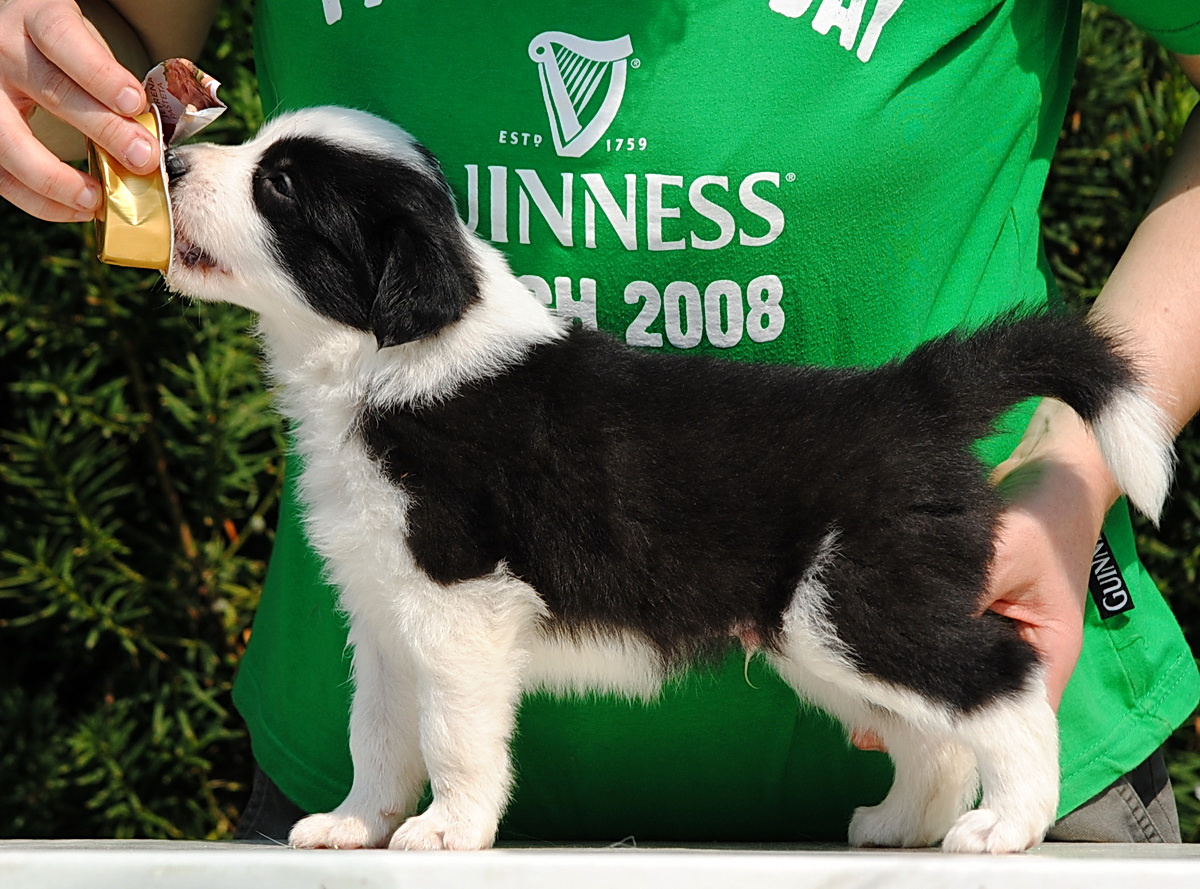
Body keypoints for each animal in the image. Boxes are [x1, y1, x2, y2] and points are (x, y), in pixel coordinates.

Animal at [164, 105, 1176, 854]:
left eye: (279, 183)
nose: (168, 159)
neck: (384, 358)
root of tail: (912, 395)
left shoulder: (459, 608)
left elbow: (453, 734)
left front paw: (447, 829)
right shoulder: (383, 612)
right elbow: (375, 732)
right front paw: (353, 824)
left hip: (859, 601)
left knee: (1003, 679)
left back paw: (1007, 824)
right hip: (818, 633)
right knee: (932, 734)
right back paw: (900, 825)